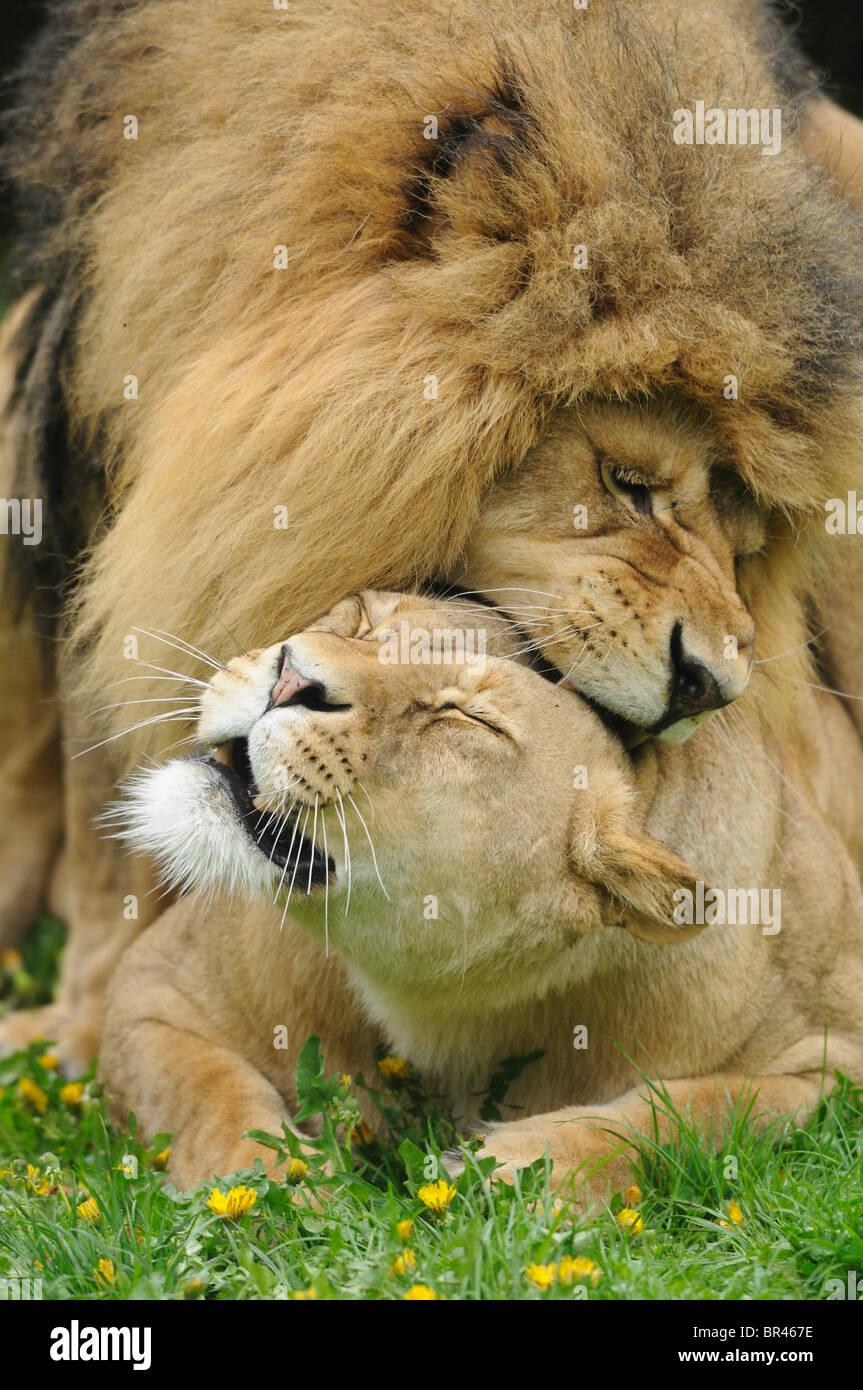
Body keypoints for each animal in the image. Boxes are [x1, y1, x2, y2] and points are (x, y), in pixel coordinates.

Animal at [99, 591, 863, 1192]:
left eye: (468, 719)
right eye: (368, 617)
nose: (289, 677)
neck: (448, 1009)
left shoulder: (831, 1062)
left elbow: (693, 1113)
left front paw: (516, 1171)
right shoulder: (151, 991)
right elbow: (210, 1092)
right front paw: (264, 1187)